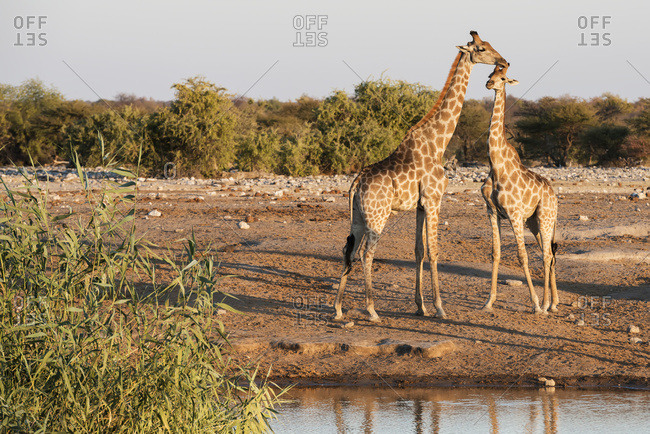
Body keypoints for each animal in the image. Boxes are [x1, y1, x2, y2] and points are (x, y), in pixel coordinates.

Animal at [333, 31, 508, 322]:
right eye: (482, 48)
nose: (504, 61)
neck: (438, 143)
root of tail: (356, 183)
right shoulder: (434, 200)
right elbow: (435, 251)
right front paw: (439, 308)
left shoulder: (419, 205)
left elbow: (419, 251)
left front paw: (421, 306)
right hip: (378, 216)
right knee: (366, 253)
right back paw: (371, 310)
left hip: (357, 216)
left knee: (349, 250)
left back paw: (337, 308)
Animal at [480, 64, 559, 314]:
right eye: (490, 75)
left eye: (503, 78)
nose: (489, 84)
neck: (495, 165)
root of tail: (555, 197)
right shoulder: (492, 212)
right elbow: (495, 253)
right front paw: (489, 302)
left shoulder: (514, 213)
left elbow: (522, 256)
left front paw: (534, 303)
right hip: (534, 222)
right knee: (549, 253)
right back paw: (554, 302)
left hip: (545, 217)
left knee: (546, 255)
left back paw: (544, 304)